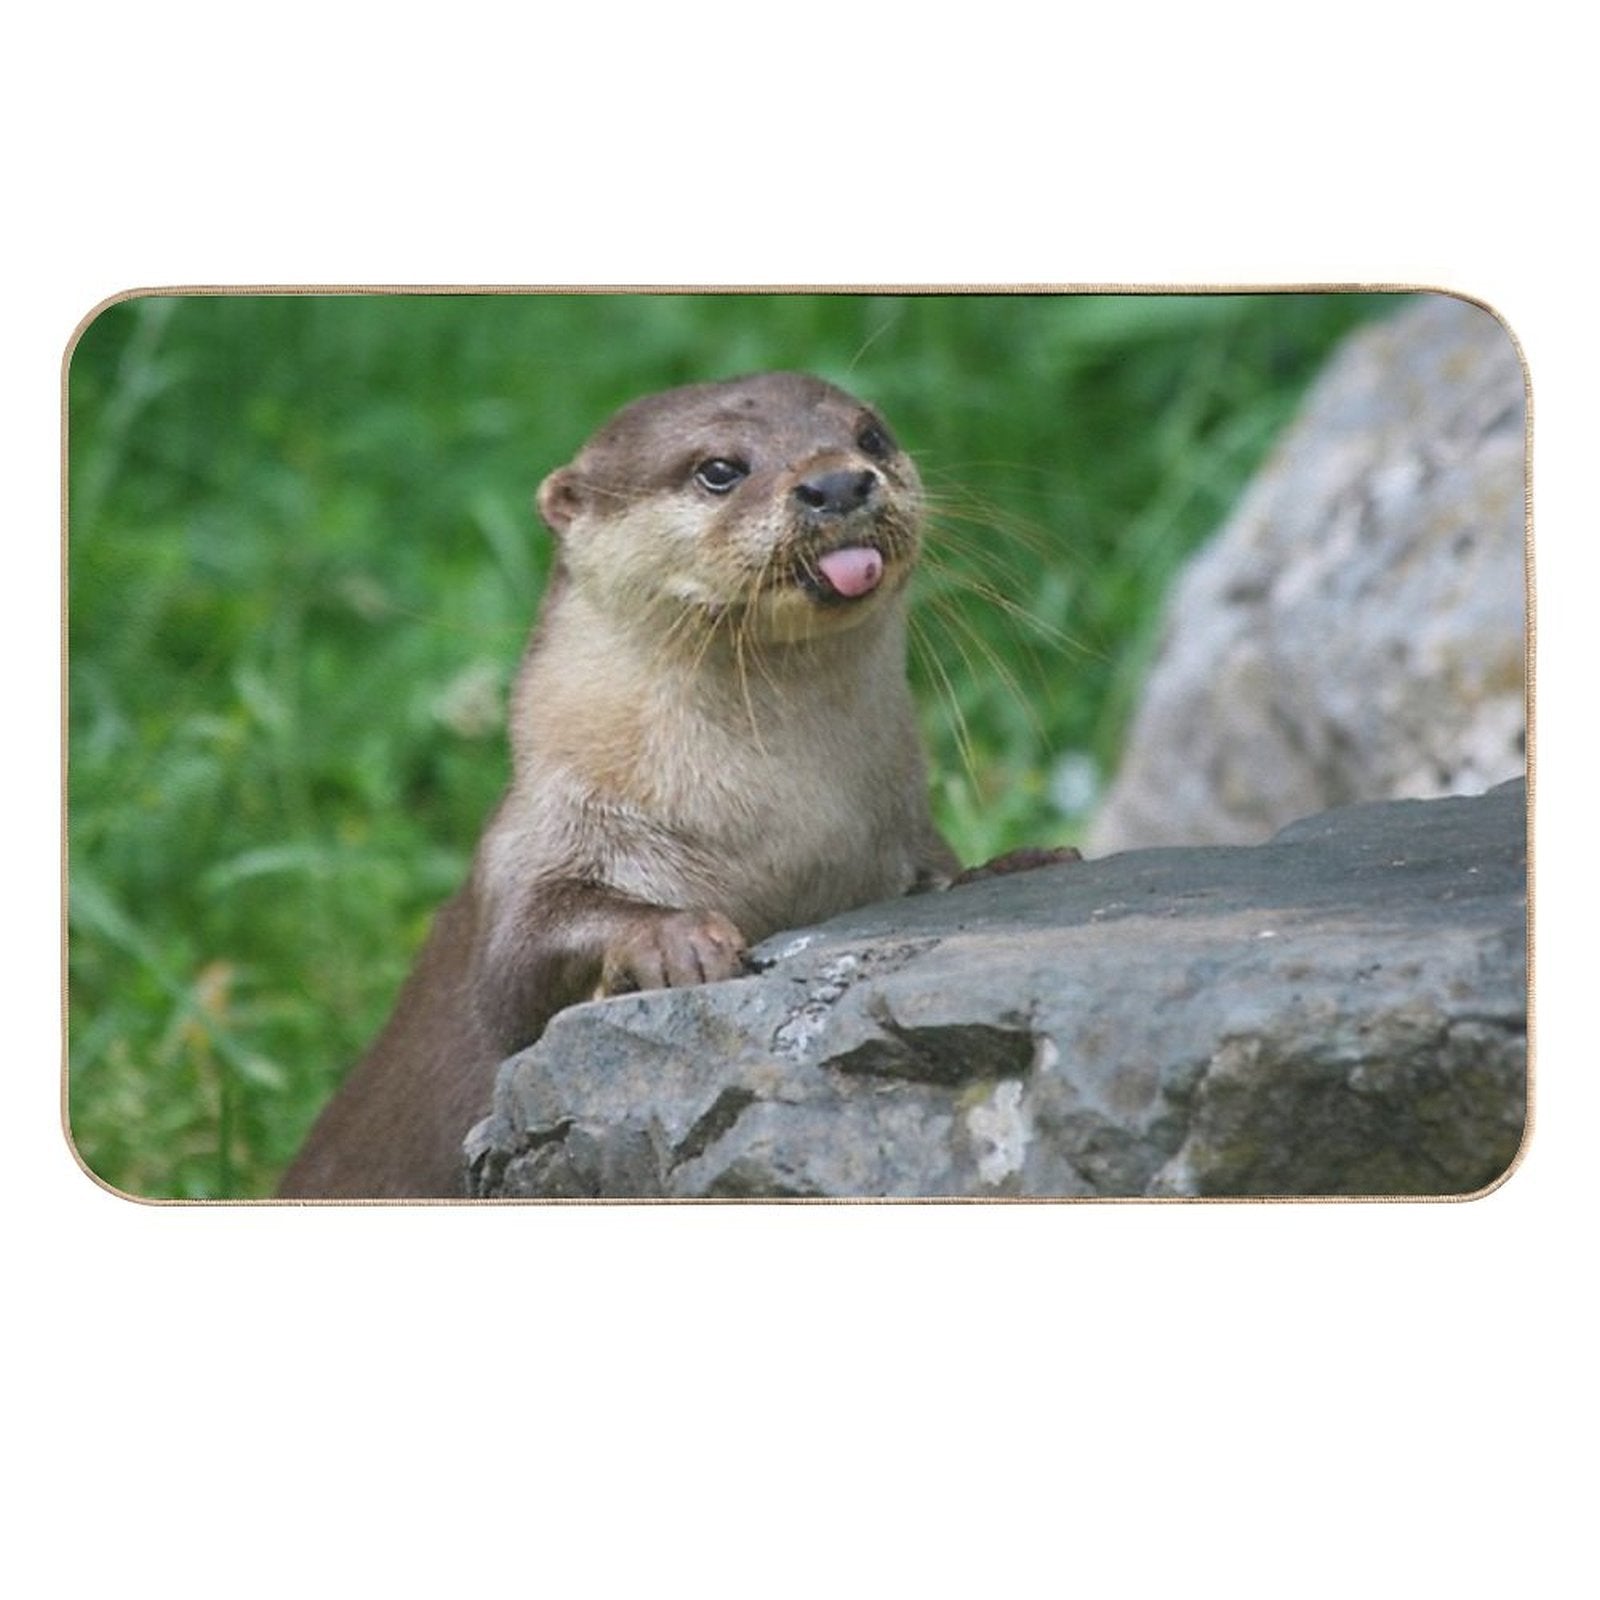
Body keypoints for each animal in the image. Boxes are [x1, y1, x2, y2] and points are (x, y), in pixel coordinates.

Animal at [279, 371, 1073, 1199]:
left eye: (871, 436)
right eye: (719, 469)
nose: (836, 482)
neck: (786, 830)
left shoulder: (901, 837)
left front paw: (1014, 865)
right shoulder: (537, 835)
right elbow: (512, 975)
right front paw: (674, 939)